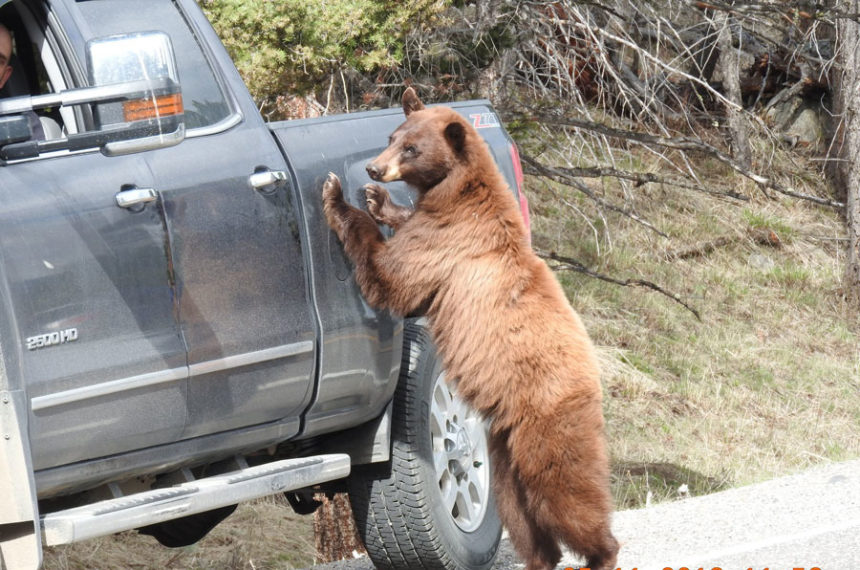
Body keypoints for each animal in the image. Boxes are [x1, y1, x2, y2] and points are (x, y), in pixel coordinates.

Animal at [322, 89, 620, 568]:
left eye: (411, 148)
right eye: (392, 137)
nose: (372, 170)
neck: (455, 191)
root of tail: (592, 378)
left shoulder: (447, 240)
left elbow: (391, 275)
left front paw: (337, 195)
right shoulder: (436, 223)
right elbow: (405, 226)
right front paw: (378, 200)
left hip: (548, 421)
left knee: (565, 489)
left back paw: (600, 552)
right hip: (505, 453)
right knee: (519, 511)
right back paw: (540, 557)